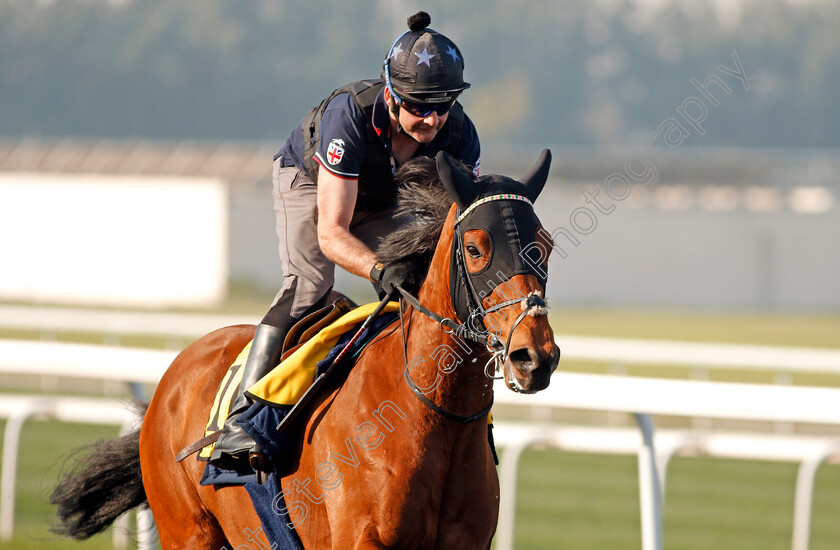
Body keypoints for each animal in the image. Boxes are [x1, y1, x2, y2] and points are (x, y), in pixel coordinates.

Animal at [55, 151, 560, 550]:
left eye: (545, 246)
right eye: (475, 248)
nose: (535, 356)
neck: (433, 412)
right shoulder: (362, 540)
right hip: (187, 531)